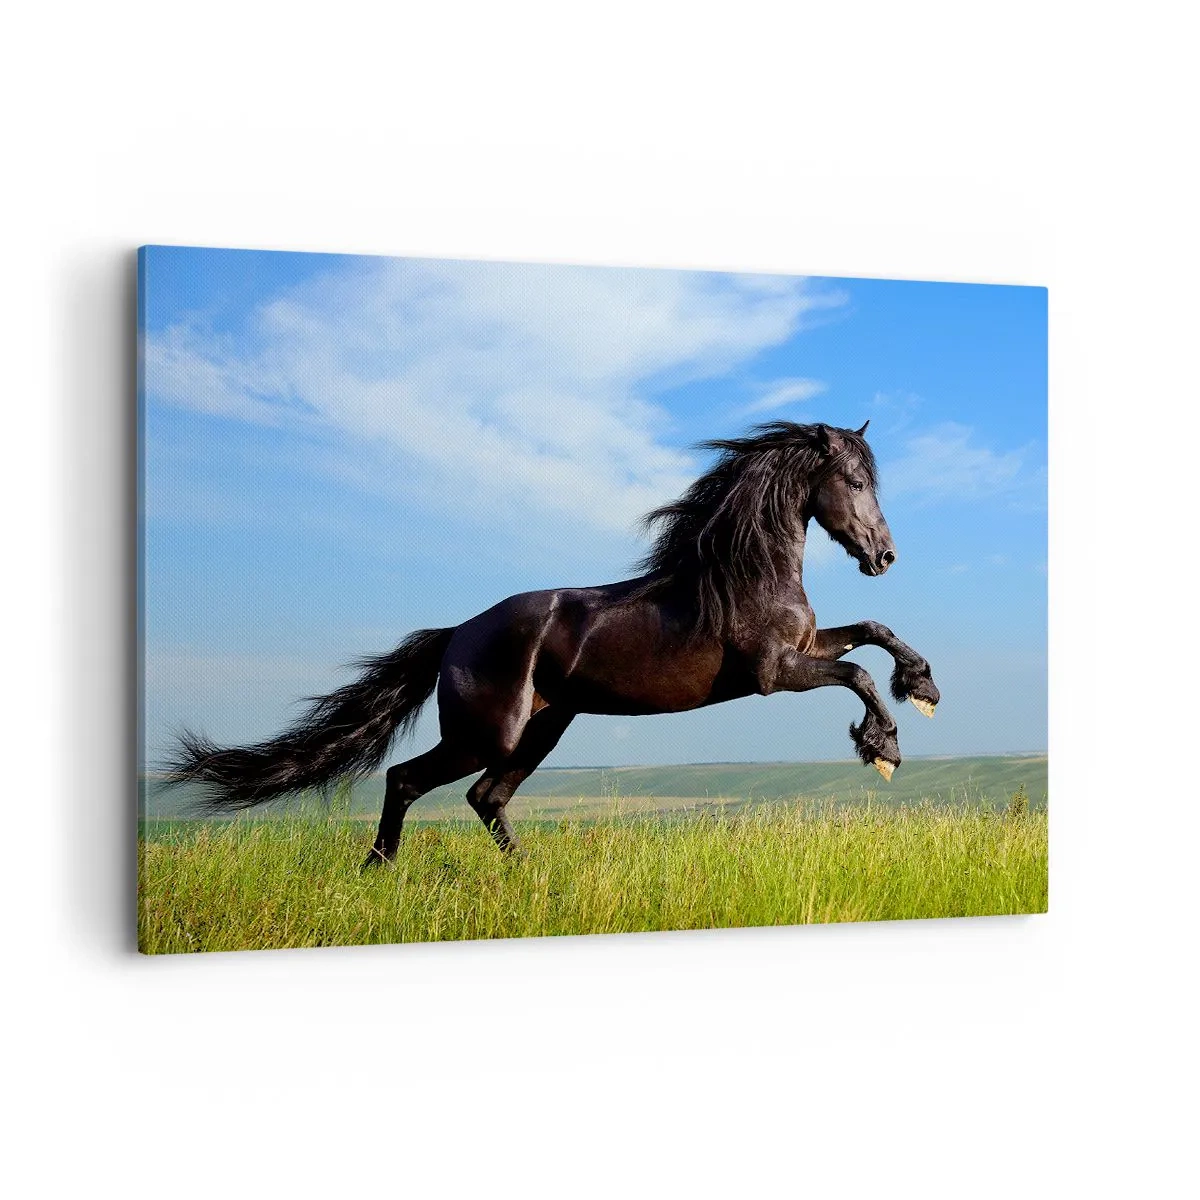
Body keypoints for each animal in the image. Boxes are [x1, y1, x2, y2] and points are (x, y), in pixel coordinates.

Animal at [166, 420, 941, 866]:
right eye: (854, 480)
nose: (884, 556)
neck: (745, 573)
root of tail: (456, 635)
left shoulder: (808, 646)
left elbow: (873, 633)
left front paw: (923, 687)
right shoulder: (774, 672)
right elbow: (856, 675)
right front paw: (884, 748)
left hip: (544, 726)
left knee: (486, 797)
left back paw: (527, 874)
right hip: (488, 733)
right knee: (409, 780)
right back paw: (379, 870)